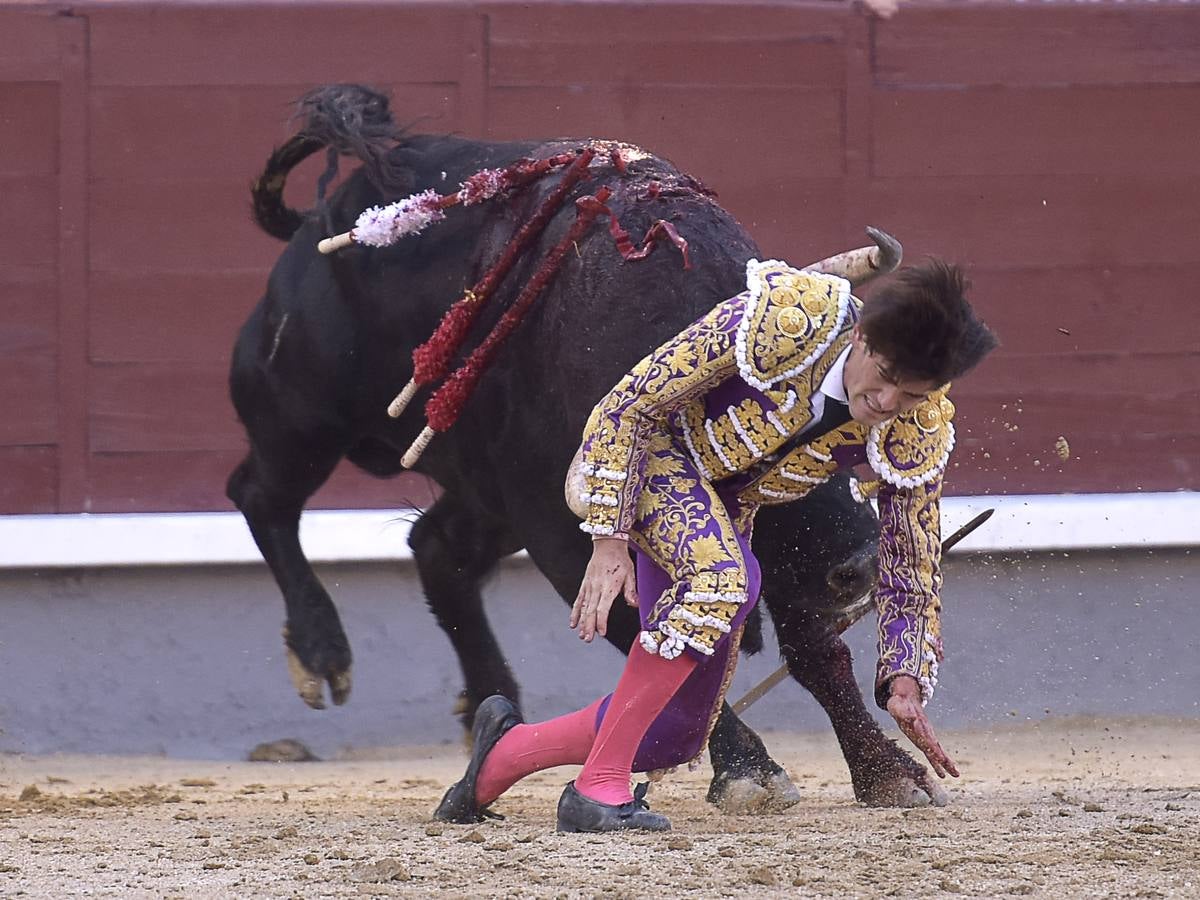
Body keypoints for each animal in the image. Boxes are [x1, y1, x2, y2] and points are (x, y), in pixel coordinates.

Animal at [229, 86, 945, 811]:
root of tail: (312, 229)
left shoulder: (781, 555)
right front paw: (750, 770)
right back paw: (322, 655)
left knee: (434, 547)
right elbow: (659, 641)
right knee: (261, 496)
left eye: (841, 436)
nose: (862, 566)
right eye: (766, 446)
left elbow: (814, 651)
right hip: (304, 420)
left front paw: (887, 771)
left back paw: (491, 700)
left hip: (483, 493)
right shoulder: (567, 538)